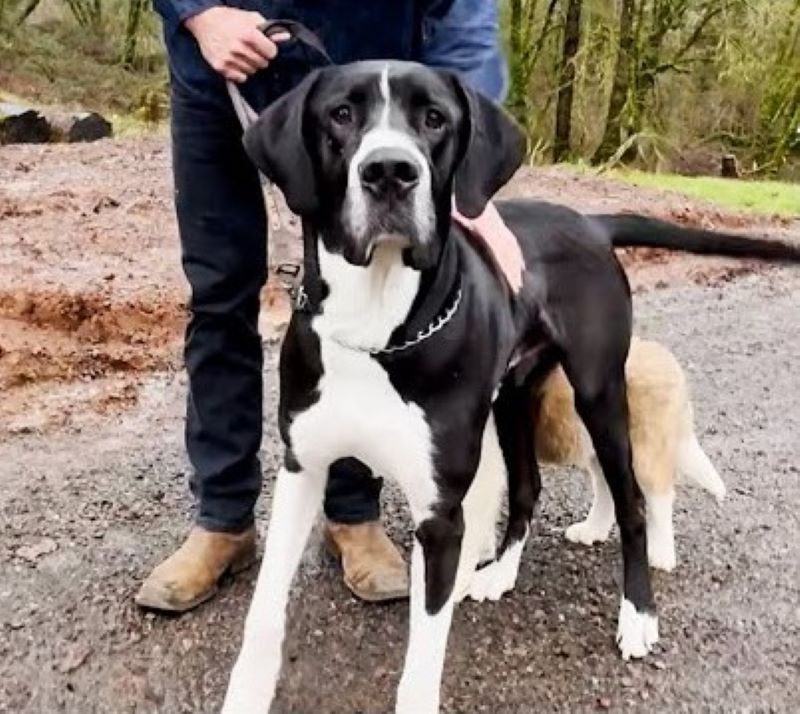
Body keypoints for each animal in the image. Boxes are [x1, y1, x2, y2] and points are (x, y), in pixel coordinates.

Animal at [536, 336, 728, 572]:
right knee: (607, 489)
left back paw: (659, 555)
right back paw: (592, 530)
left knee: (660, 498)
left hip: (646, 452)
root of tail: (664, 357)